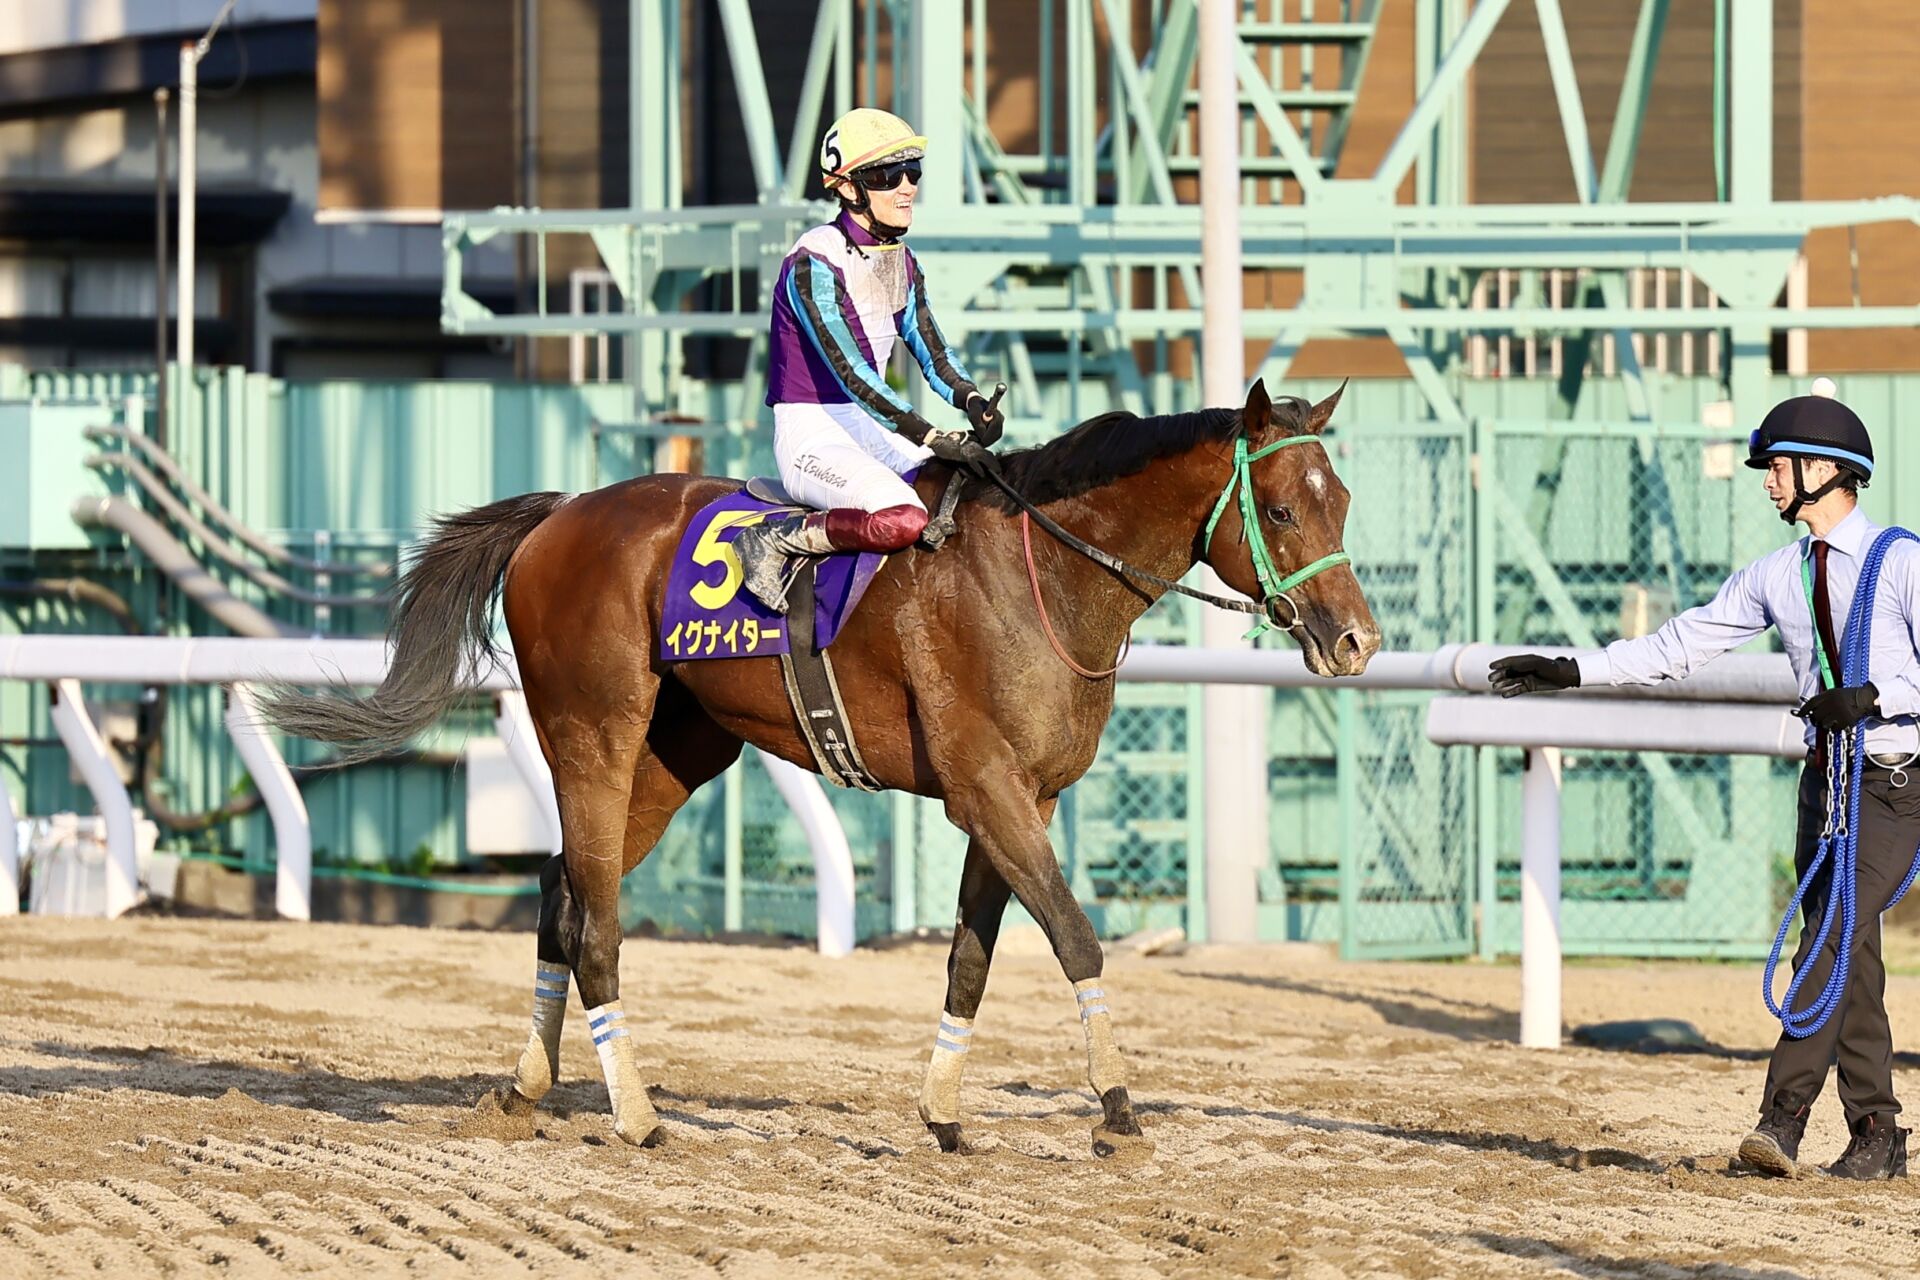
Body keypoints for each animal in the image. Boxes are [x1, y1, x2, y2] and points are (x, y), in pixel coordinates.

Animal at [266, 376, 1382, 1159]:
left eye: (1343, 502)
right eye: (1283, 511)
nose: (1357, 641)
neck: (1043, 577)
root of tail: (559, 514)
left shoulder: (1022, 797)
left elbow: (971, 957)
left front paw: (942, 1113)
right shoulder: (988, 787)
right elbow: (1076, 938)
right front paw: (1118, 1110)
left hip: (678, 753)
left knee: (560, 890)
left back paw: (526, 1087)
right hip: (594, 732)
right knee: (598, 923)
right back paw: (637, 1115)